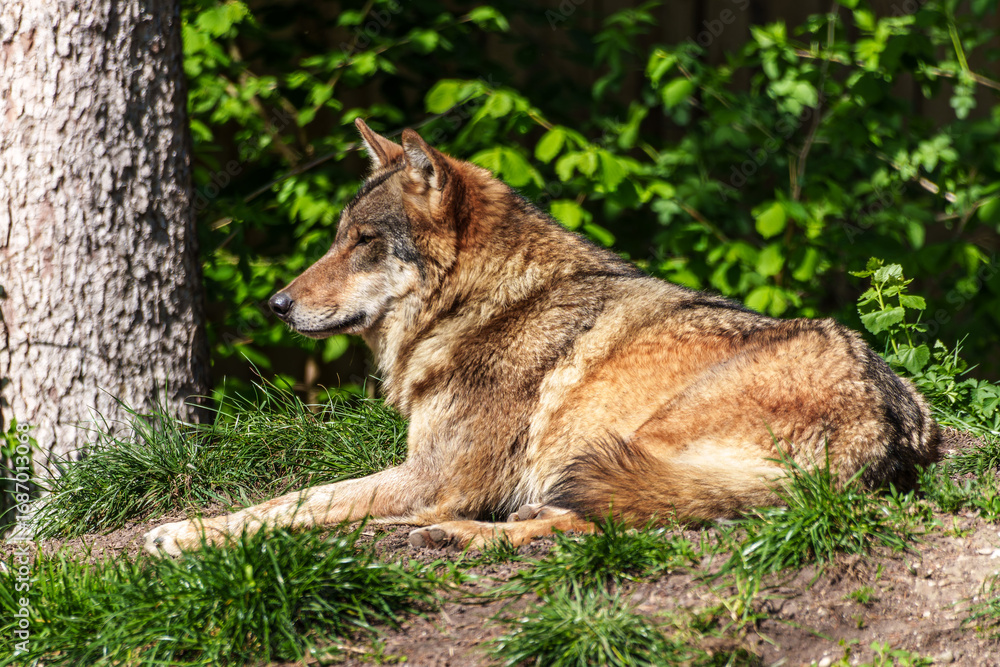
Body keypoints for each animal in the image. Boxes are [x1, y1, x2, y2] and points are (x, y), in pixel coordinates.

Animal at [144, 119, 939, 556]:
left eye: (364, 242)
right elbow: (293, 498)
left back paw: (458, 535)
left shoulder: (432, 480)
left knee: (611, 525)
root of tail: (882, 429)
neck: (483, 303)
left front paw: (186, 534)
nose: (276, 304)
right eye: (340, 238)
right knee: (601, 520)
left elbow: (290, 507)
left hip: (631, 439)